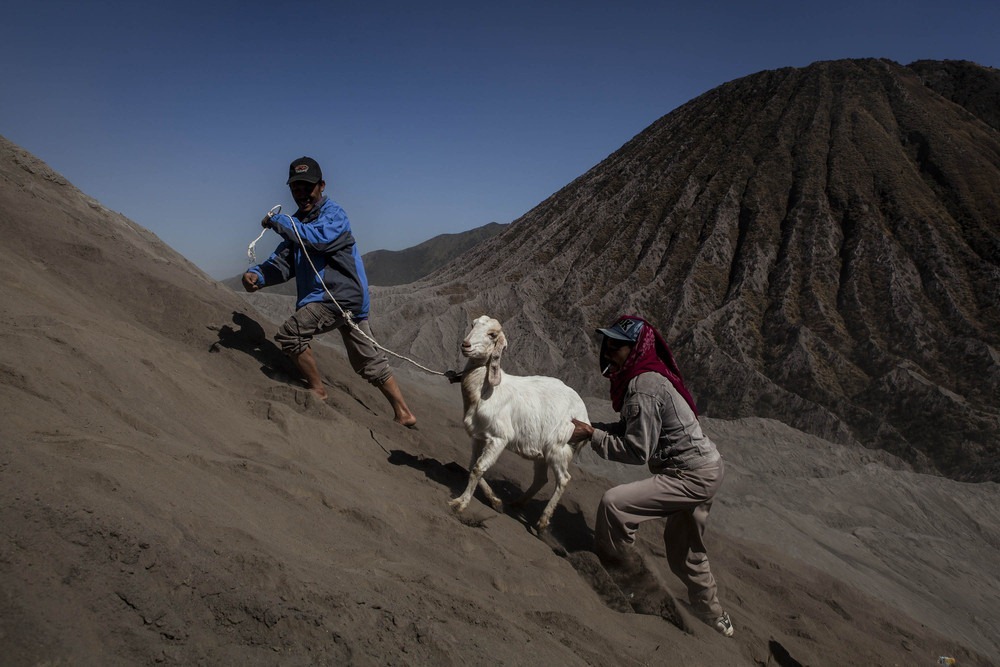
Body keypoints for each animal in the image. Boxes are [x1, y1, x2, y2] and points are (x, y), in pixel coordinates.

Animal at [452, 318, 588, 532]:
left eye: (492, 334)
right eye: (473, 325)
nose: (466, 345)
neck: (486, 391)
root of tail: (584, 413)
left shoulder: (499, 438)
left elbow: (478, 468)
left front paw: (460, 503)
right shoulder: (479, 437)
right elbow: (473, 465)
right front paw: (496, 502)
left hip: (558, 449)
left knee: (564, 479)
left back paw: (542, 523)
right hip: (542, 454)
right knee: (541, 479)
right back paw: (517, 503)